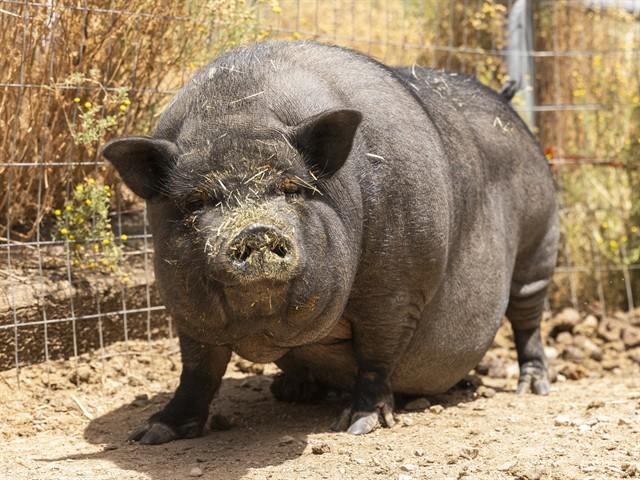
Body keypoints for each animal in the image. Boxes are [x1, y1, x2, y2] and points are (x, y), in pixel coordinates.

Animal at [102, 41, 558, 444]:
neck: (236, 110)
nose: (255, 231)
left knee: (527, 318)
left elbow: (377, 355)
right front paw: (151, 434)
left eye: (292, 188)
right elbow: (197, 369)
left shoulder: (397, 288)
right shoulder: (186, 310)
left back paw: (533, 388)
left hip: (539, 243)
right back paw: (291, 391)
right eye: (197, 201)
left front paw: (358, 425)